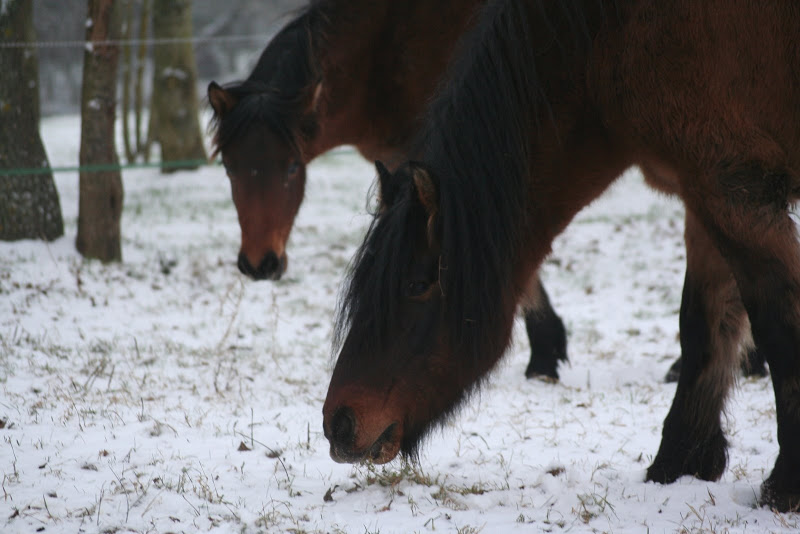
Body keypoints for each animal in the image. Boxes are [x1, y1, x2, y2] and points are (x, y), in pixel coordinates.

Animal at [324, 0, 800, 512]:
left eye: (416, 284)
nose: (338, 423)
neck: (606, 37)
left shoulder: (735, 193)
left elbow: (779, 326)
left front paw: (784, 486)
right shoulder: (705, 193)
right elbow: (703, 327)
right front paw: (679, 463)